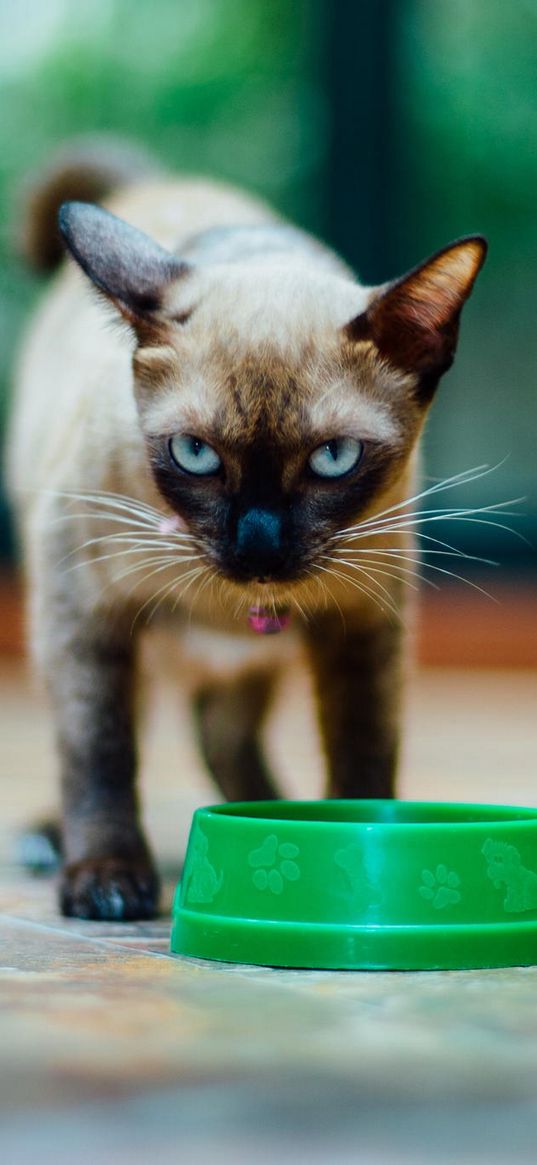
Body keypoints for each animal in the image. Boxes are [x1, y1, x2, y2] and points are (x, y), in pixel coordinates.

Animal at [7, 140, 484, 918]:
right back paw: (59, 841)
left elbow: (363, 751)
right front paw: (107, 878)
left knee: (221, 734)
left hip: (256, 661)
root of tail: (161, 178)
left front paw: (346, 855)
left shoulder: (363, 624)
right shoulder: (84, 610)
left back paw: (270, 823)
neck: (230, 602)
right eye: (195, 454)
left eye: (333, 458)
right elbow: (98, 752)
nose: (258, 545)